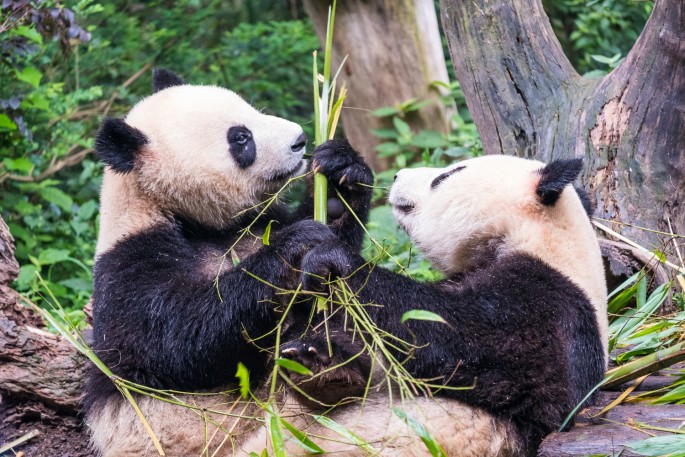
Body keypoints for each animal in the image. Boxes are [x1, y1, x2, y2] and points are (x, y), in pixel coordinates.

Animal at [85, 68, 374, 456]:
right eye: (241, 138)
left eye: (252, 109)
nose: (299, 140)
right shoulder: (128, 264)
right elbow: (177, 337)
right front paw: (296, 245)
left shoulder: (257, 223)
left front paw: (340, 178)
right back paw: (323, 374)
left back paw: (328, 368)